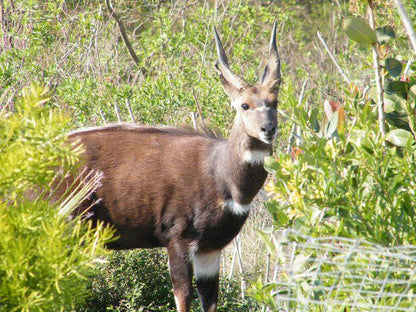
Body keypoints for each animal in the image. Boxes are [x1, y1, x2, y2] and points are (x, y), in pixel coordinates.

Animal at [66, 22, 282, 312]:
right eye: (244, 105)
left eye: (275, 102)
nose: (268, 129)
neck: (222, 178)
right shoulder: (178, 238)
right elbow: (183, 296)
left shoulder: (210, 249)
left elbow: (210, 300)